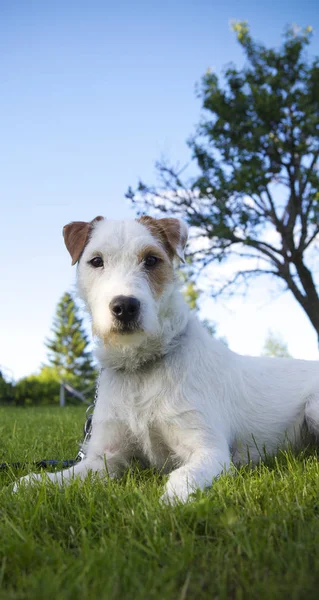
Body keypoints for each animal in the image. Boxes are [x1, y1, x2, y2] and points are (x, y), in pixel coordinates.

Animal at [14, 216, 319, 502]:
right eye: (96, 261)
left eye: (151, 260)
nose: (125, 306)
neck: (140, 368)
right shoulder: (105, 459)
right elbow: (66, 475)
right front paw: (33, 483)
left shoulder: (209, 451)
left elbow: (182, 477)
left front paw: (171, 502)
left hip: (313, 407)